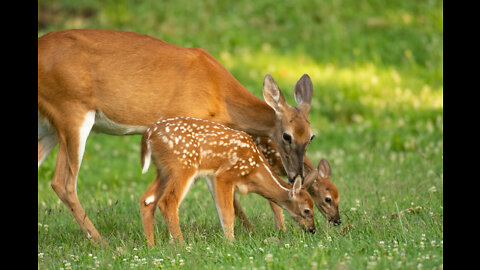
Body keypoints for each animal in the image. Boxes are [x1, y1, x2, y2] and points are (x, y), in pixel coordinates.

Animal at [139, 116, 316, 245]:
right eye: (307, 210)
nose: (313, 230)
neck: (255, 171)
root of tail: (148, 134)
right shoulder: (224, 175)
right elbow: (228, 212)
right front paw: (230, 243)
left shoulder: (213, 177)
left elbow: (221, 209)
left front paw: (227, 239)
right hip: (182, 166)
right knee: (168, 201)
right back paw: (181, 245)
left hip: (163, 170)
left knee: (147, 199)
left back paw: (151, 245)